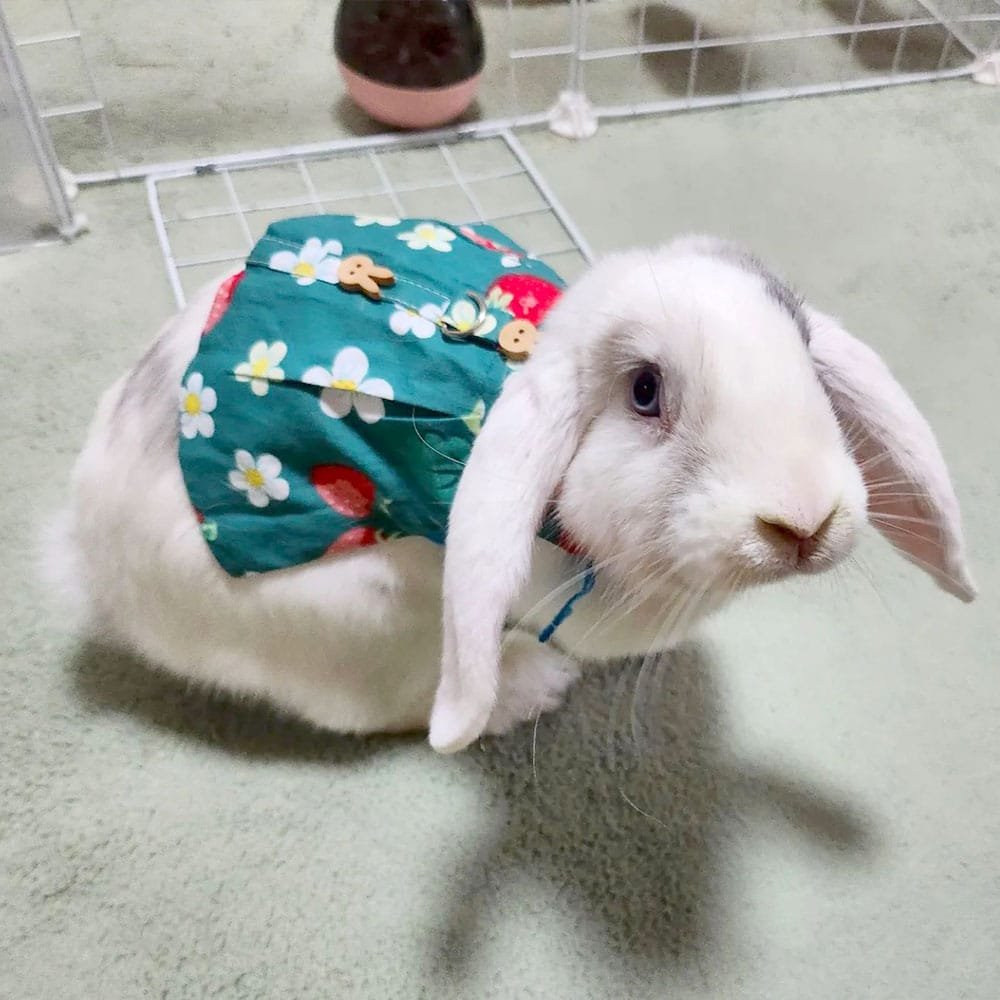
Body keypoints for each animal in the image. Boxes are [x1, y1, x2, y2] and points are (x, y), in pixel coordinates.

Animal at [47, 235, 976, 753]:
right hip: (359, 617)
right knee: (388, 706)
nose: (806, 522)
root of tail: (89, 562)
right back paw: (531, 687)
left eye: (802, 349)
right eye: (645, 392)